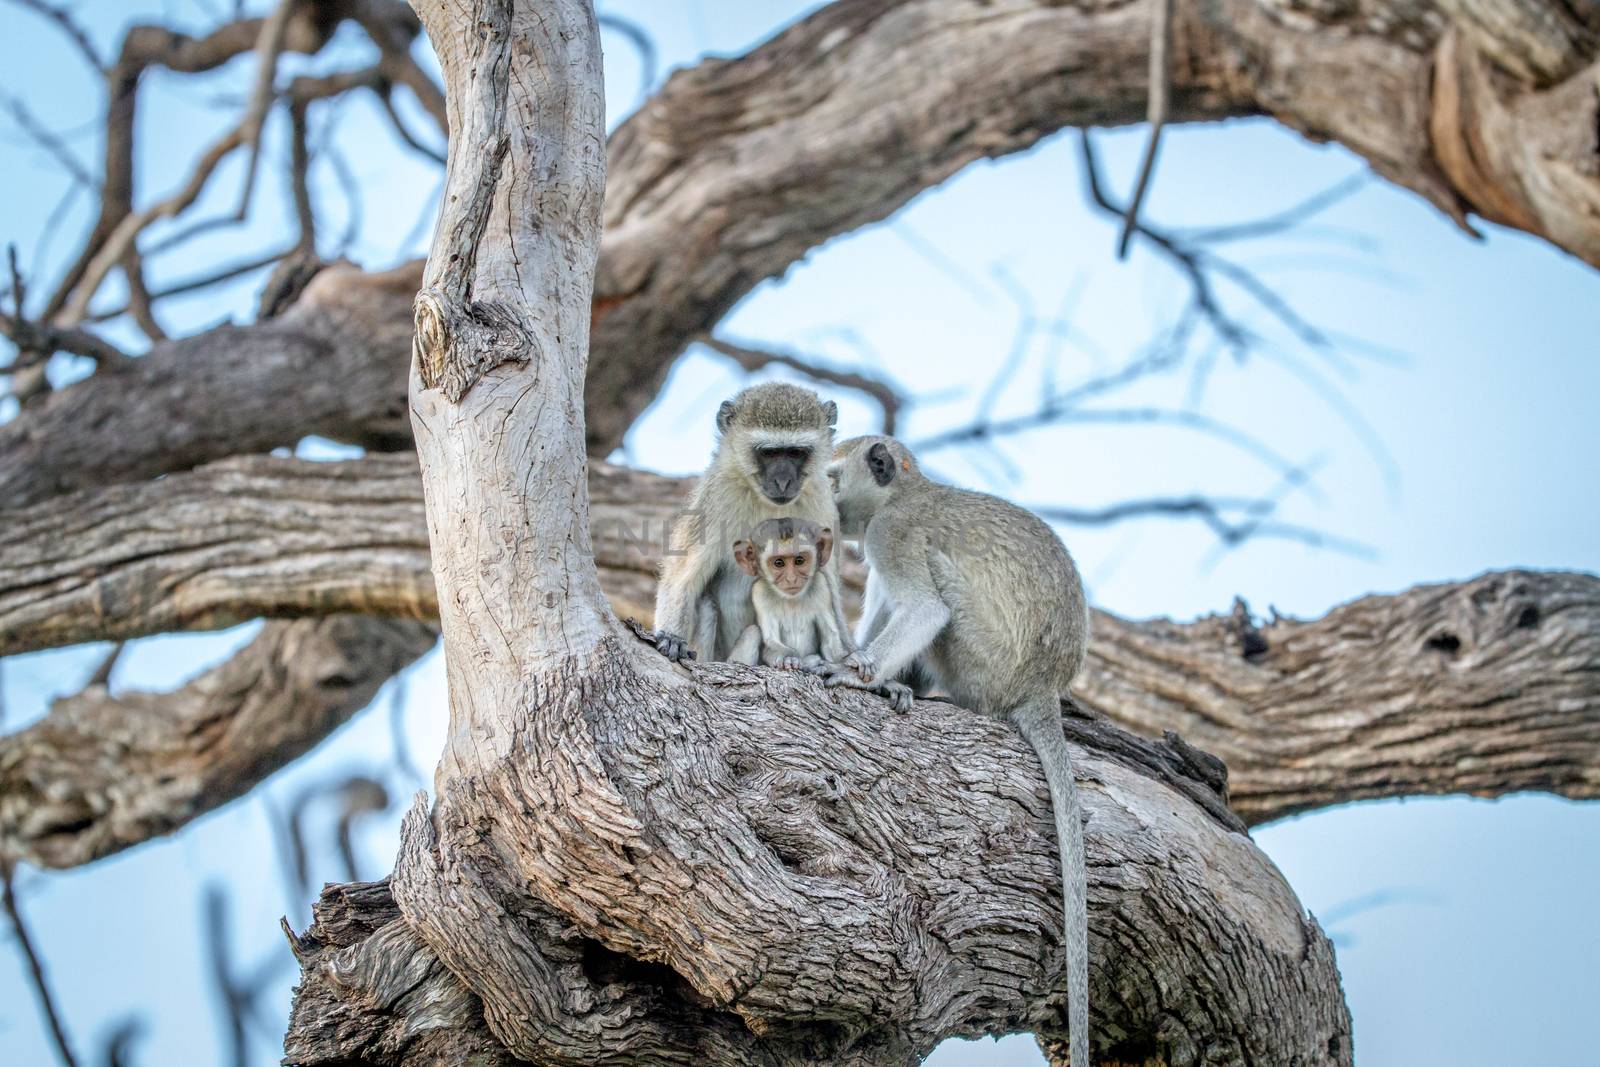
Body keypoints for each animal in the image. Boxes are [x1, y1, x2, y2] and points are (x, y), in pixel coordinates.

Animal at [646, 383, 851, 662]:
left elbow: (828, 586)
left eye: (795, 453)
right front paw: (671, 637)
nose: (783, 482)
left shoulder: (821, 501)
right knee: (706, 604)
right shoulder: (716, 497)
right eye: (769, 453)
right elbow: (683, 576)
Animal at [825, 435, 1100, 1067]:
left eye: (828, 478)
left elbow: (925, 610)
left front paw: (857, 677)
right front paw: (874, 676)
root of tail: (1041, 686)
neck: (903, 490)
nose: (818, 509)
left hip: (982, 662)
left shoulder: (893, 534)